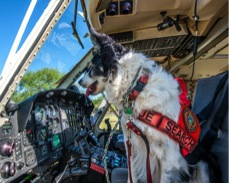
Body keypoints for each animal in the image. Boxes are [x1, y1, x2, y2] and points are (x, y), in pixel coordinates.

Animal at [78, 28, 209, 183]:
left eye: (92, 67)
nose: (79, 82)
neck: (137, 87)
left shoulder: (170, 157)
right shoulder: (132, 144)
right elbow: (132, 175)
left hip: (203, 166)